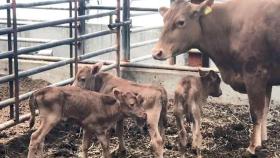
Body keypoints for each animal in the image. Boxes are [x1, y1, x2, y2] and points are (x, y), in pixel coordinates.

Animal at [152, 0, 280, 155]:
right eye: (164, 20)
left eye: (181, 22)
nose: (156, 52)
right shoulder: (266, 80)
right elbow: (264, 110)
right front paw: (263, 139)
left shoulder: (255, 75)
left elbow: (256, 113)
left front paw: (253, 146)